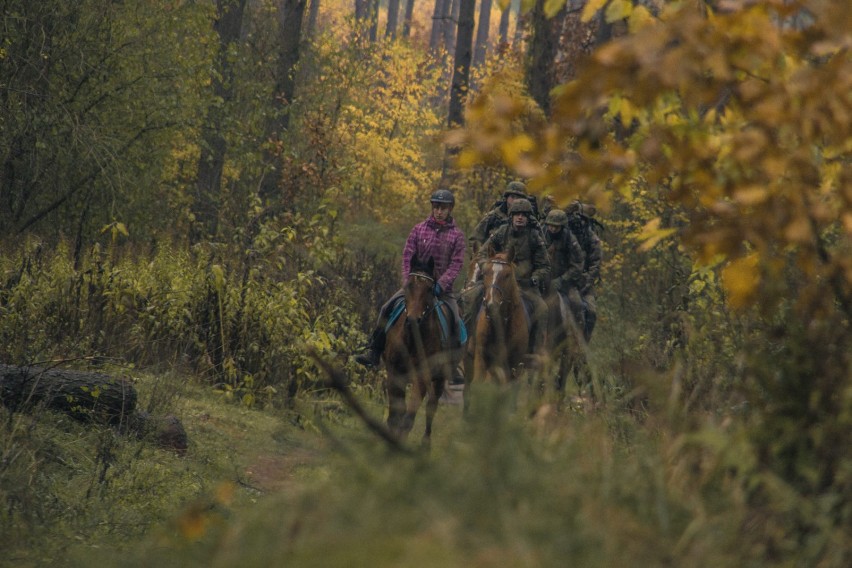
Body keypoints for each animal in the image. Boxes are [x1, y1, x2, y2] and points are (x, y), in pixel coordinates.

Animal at [384, 255, 456, 446]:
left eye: (430, 289)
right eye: (409, 285)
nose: (413, 320)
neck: (412, 339)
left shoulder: (422, 377)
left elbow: (408, 418)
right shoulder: (394, 373)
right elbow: (395, 415)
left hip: (439, 380)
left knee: (431, 406)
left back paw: (425, 443)